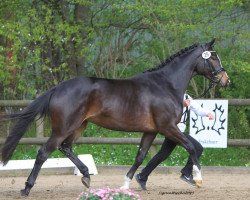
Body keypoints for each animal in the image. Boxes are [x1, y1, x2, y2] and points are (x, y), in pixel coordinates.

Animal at [0, 39, 229, 195]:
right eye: (213, 57)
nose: (225, 79)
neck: (165, 85)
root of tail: (58, 88)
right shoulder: (168, 127)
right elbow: (191, 148)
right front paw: (197, 179)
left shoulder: (151, 131)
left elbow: (140, 156)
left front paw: (126, 184)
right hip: (63, 127)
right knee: (44, 152)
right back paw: (26, 188)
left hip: (79, 126)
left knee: (66, 147)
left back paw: (86, 176)